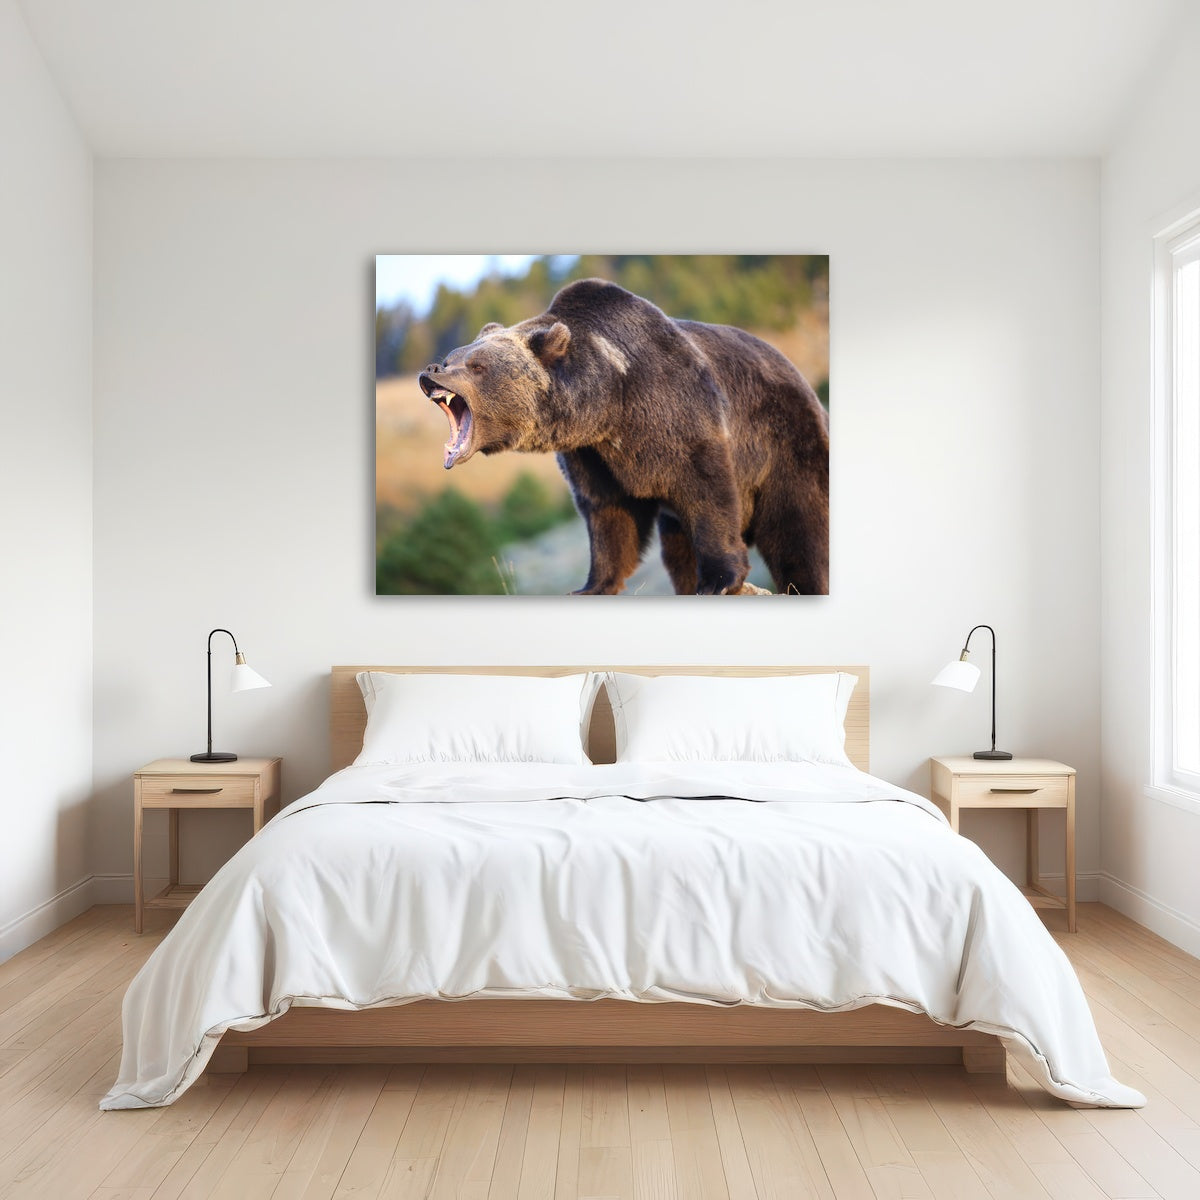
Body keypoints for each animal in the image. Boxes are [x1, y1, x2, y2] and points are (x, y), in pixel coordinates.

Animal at [418, 278, 829, 595]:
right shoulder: (593, 454)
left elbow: (708, 491)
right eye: (453, 356)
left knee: (800, 532)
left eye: (477, 366)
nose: (432, 370)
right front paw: (592, 585)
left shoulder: (678, 412)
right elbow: (608, 513)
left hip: (788, 444)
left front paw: (718, 580)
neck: (611, 401)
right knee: (677, 550)